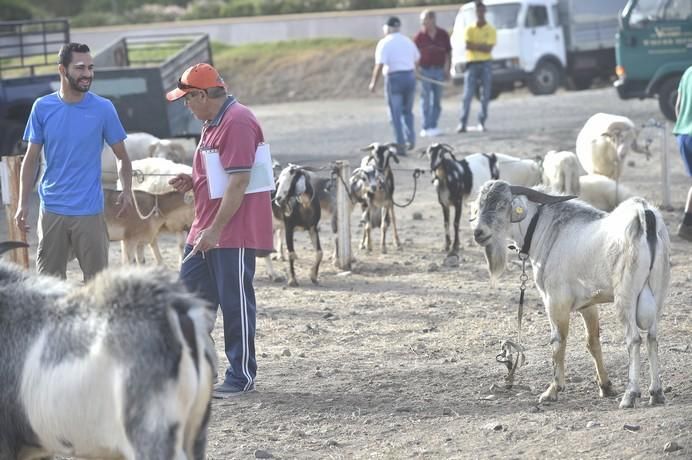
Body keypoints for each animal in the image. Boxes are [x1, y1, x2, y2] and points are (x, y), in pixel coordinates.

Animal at [470, 181, 672, 410]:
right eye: (480, 204)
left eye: (502, 204)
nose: (478, 232)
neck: (547, 229)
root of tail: (643, 215)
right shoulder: (588, 304)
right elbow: (592, 341)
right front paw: (606, 386)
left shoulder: (555, 300)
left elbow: (558, 341)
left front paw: (552, 390)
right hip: (658, 292)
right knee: (652, 338)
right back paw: (656, 393)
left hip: (626, 296)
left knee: (634, 339)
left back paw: (630, 395)